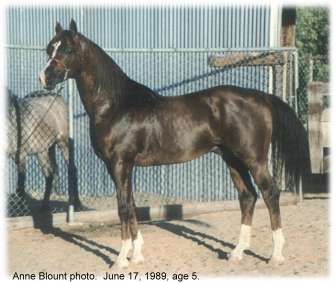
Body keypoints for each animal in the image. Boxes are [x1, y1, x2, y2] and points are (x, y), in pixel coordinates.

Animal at [38, 20, 310, 268]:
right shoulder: (122, 166)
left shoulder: (119, 163)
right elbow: (132, 205)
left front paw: (120, 259)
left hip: (254, 159)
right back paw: (237, 252)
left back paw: (275, 255)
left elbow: (123, 207)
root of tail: (260, 97)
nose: (44, 78)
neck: (115, 105)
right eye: (49, 48)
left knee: (270, 193)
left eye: (67, 50)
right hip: (232, 159)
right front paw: (137, 256)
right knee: (248, 196)